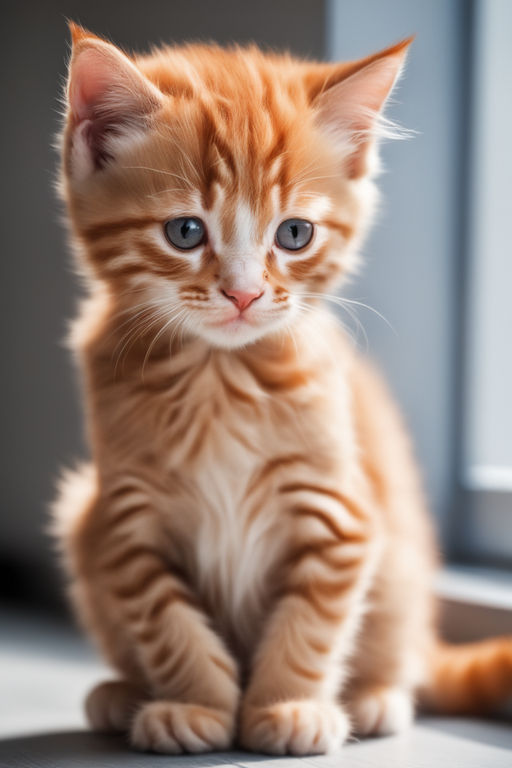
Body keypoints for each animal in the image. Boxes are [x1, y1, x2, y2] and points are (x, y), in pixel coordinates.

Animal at [53, 24, 512, 756]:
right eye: (185, 231)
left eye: (294, 234)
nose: (243, 293)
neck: (219, 377)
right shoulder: (123, 523)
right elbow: (168, 622)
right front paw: (196, 703)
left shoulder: (341, 515)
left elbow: (310, 625)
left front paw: (287, 706)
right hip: (80, 519)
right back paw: (123, 694)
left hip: (401, 568)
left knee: (405, 659)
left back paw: (376, 696)